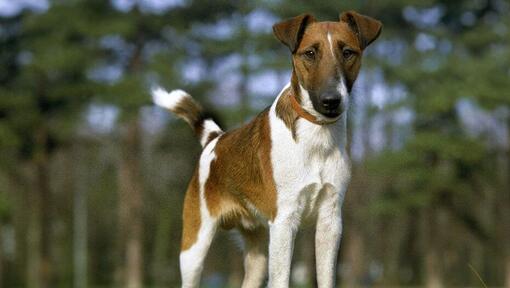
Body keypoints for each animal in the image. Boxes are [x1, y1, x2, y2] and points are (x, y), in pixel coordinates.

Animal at [152, 10, 382, 288]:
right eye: (310, 53)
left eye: (348, 52)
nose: (330, 100)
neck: (316, 135)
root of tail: (214, 139)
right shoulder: (284, 222)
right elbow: (281, 279)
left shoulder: (330, 221)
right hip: (195, 247)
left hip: (258, 255)